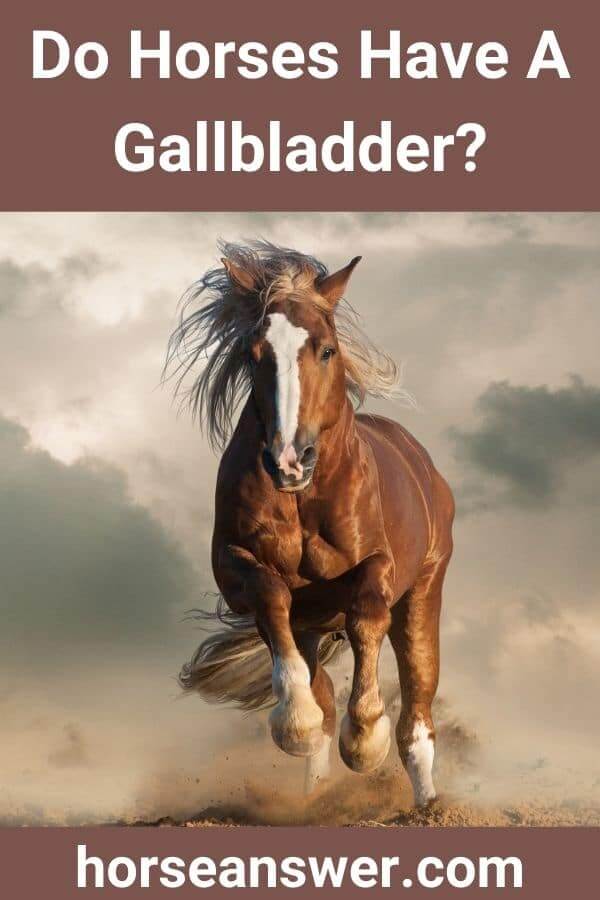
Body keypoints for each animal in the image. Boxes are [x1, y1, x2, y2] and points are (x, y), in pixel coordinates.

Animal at [167, 241, 454, 807]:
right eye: (254, 355)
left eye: (326, 350)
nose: (288, 461)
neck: (305, 499)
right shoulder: (236, 568)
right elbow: (271, 597)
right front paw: (294, 724)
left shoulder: (379, 566)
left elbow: (367, 614)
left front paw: (364, 740)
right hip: (312, 625)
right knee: (320, 691)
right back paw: (315, 793)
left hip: (424, 592)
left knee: (417, 710)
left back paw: (426, 804)